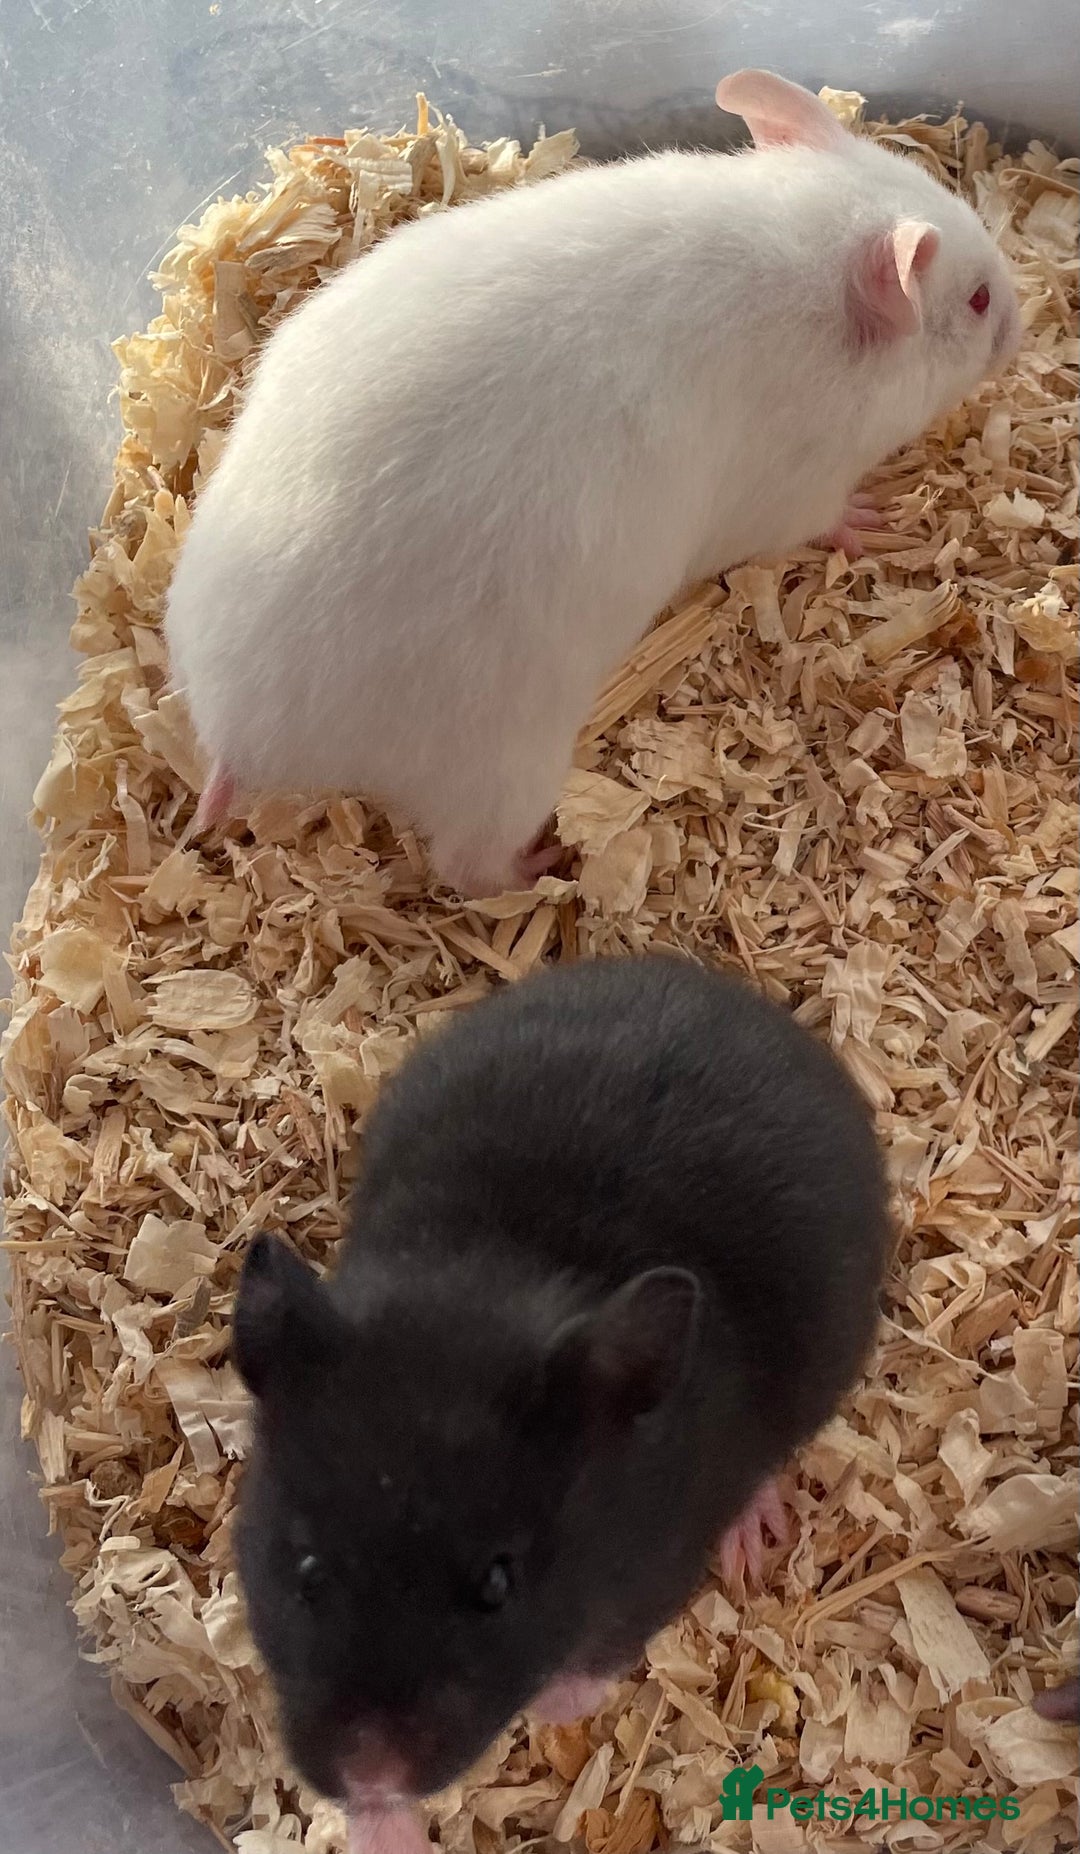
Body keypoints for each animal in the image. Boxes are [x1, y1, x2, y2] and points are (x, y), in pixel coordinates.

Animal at [164, 69, 1021, 898]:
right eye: (978, 301)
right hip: (504, 771)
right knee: (467, 869)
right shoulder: (793, 489)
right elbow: (827, 518)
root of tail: (244, 740)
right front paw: (878, 519)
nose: (1023, 324)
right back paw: (548, 867)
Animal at [231, 954, 891, 1825]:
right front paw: (385, 1825)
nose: (370, 1776)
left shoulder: (657, 1569)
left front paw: (546, 1711)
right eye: (305, 1569)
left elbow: (596, 1661)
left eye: (498, 1584)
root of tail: (729, 992)